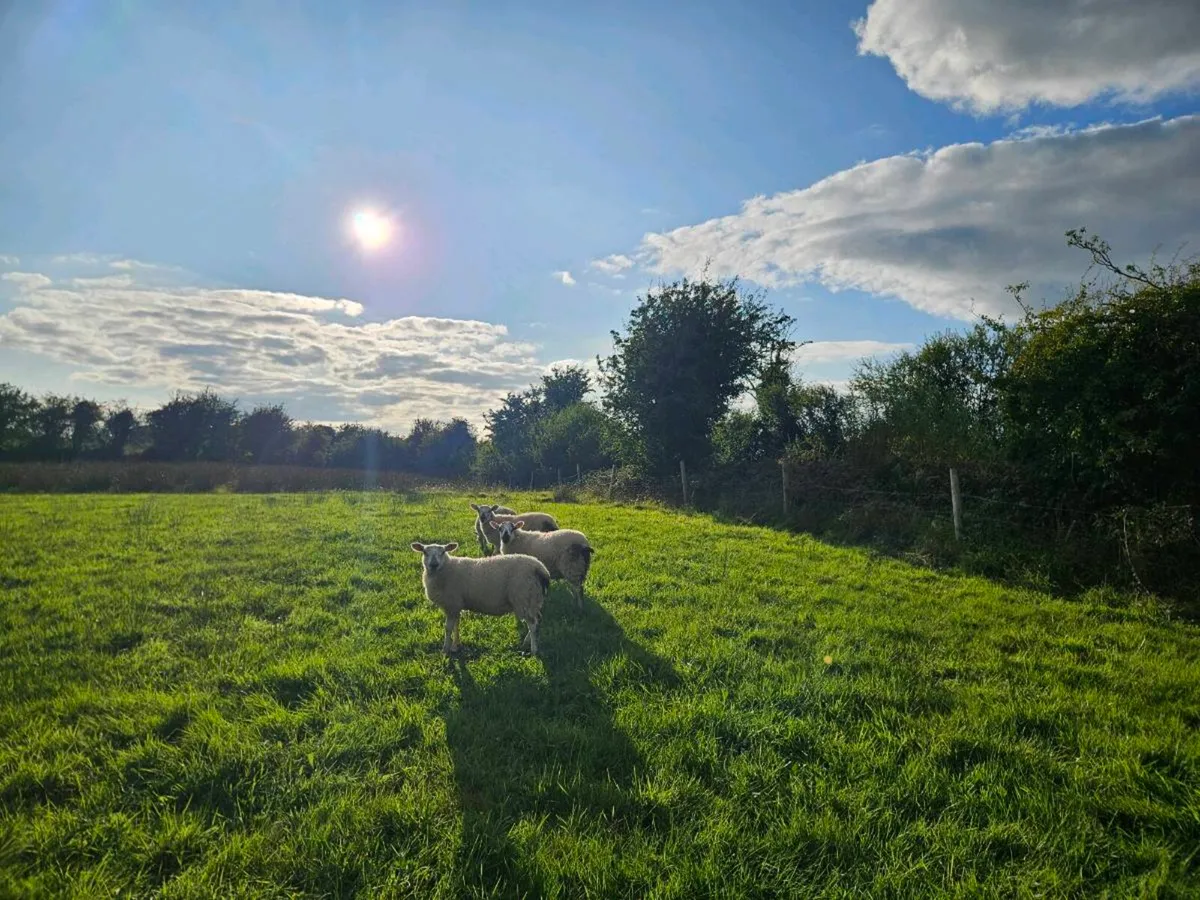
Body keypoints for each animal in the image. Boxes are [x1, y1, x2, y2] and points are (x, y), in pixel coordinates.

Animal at [411, 541, 550, 656]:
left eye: (443, 552)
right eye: (424, 552)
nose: (434, 564)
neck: (446, 569)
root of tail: (539, 567)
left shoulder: (452, 604)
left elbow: (448, 628)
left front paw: (445, 650)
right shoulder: (456, 605)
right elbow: (457, 624)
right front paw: (455, 646)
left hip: (523, 597)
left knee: (532, 624)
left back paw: (533, 650)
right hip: (534, 599)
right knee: (538, 619)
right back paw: (527, 641)